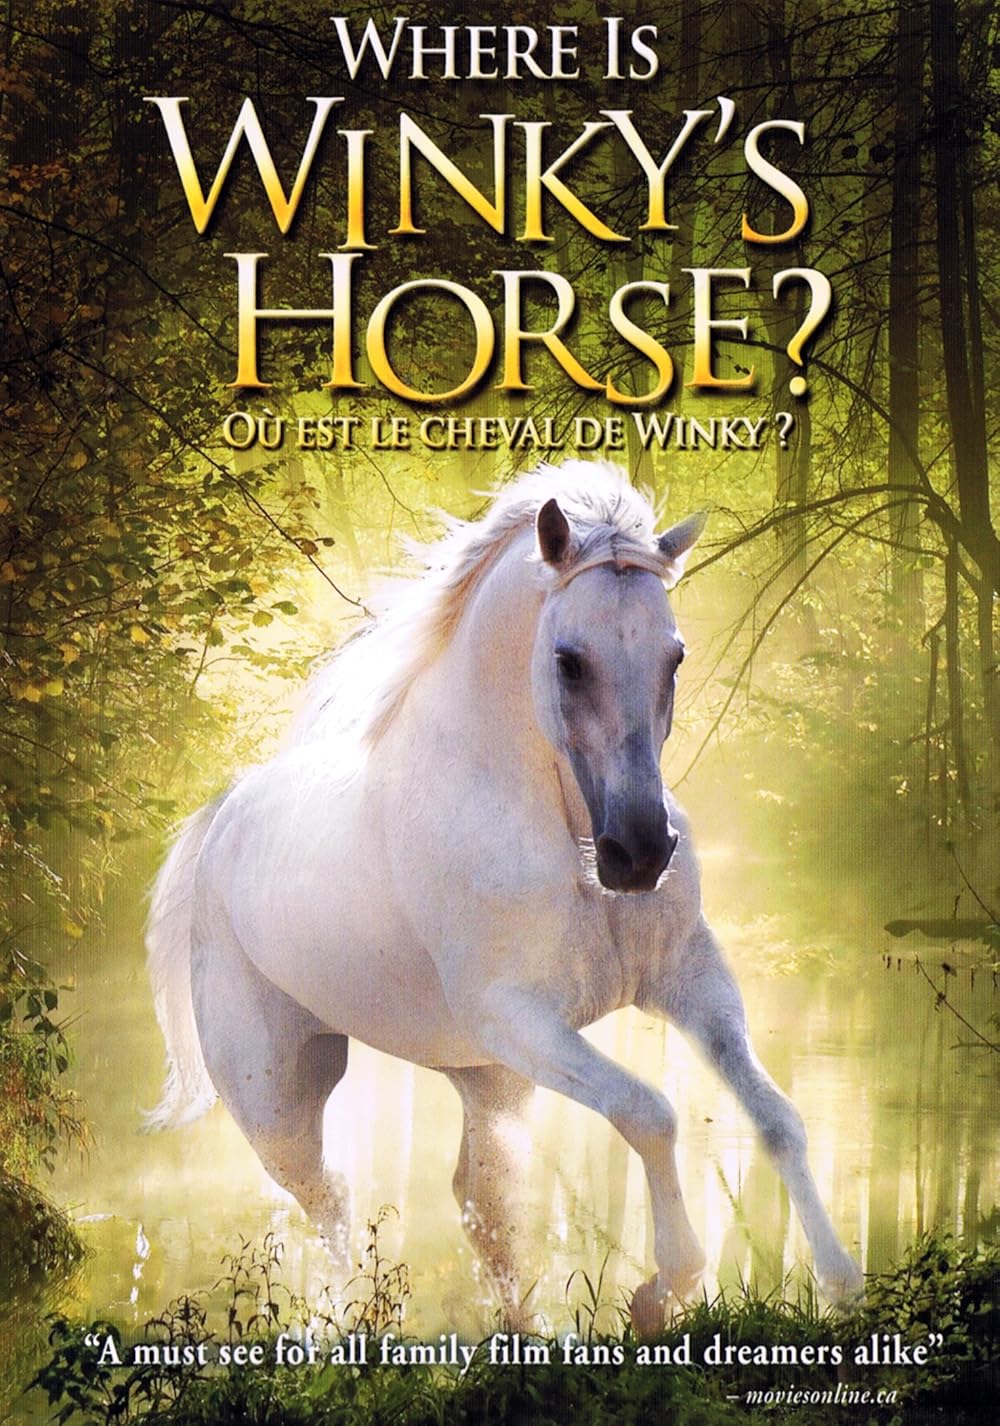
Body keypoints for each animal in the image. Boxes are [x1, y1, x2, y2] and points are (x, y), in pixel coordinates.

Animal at [146, 459, 862, 1333]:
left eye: (676, 656)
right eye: (569, 659)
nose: (639, 856)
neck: (565, 837)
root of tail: (223, 815)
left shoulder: (691, 981)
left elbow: (777, 1118)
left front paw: (841, 1282)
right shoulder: (519, 1018)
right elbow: (650, 1112)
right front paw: (664, 1287)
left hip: (488, 1080)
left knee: (477, 1200)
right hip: (276, 1093)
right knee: (329, 1199)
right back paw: (354, 1324)